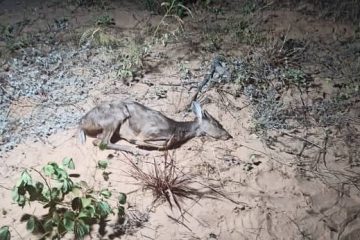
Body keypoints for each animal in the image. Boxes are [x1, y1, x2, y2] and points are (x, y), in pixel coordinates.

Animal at [78, 100, 231, 154]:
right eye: (216, 123)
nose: (228, 135)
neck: (177, 129)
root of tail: (82, 122)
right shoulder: (149, 132)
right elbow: (164, 143)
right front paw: (138, 144)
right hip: (116, 116)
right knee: (103, 142)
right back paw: (138, 151)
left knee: (97, 140)